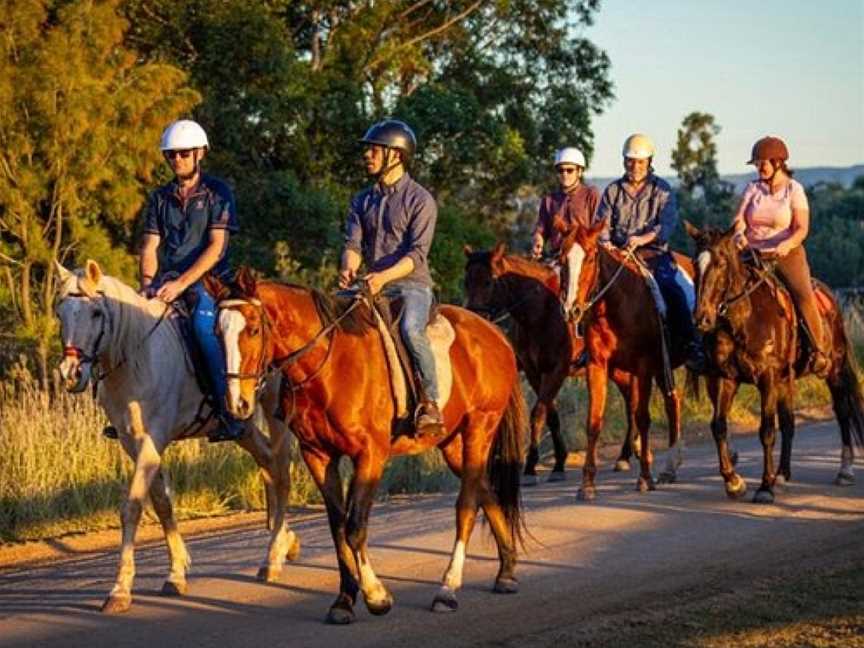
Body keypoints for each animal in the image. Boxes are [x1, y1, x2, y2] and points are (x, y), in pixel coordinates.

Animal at [56, 260, 300, 612]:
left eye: (96, 313)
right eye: (59, 312)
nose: (71, 373)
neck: (137, 357)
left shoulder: (151, 441)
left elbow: (132, 507)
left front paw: (120, 590)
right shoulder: (134, 443)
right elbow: (162, 503)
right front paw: (176, 574)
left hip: (273, 410)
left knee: (280, 469)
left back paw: (274, 556)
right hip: (242, 422)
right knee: (267, 462)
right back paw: (285, 542)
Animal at [213, 268, 528, 624]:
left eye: (253, 329)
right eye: (216, 332)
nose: (237, 404)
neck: (330, 365)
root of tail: (495, 334)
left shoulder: (370, 455)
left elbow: (354, 527)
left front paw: (377, 596)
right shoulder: (318, 455)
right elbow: (338, 529)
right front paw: (344, 602)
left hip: (480, 429)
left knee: (467, 505)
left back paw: (447, 589)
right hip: (452, 443)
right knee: (486, 492)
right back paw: (506, 571)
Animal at [462, 243, 636, 480]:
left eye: (488, 281)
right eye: (467, 282)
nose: (475, 317)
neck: (541, 312)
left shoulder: (557, 370)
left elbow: (538, 413)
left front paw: (530, 466)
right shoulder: (535, 371)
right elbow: (550, 413)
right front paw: (559, 462)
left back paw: (625, 455)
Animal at [564, 220, 692, 498]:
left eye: (590, 257)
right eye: (561, 257)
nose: (572, 310)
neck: (617, 304)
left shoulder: (643, 367)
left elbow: (643, 418)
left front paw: (644, 477)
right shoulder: (597, 366)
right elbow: (594, 421)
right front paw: (587, 484)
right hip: (658, 368)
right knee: (672, 402)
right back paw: (669, 467)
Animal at [684, 223, 860, 502]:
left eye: (721, 263)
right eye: (694, 262)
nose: (702, 318)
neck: (743, 319)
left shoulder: (767, 378)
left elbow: (766, 430)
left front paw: (765, 487)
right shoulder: (725, 378)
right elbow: (719, 426)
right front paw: (734, 482)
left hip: (833, 370)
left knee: (842, 411)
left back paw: (844, 470)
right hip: (786, 379)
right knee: (789, 422)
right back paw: (783, 475)